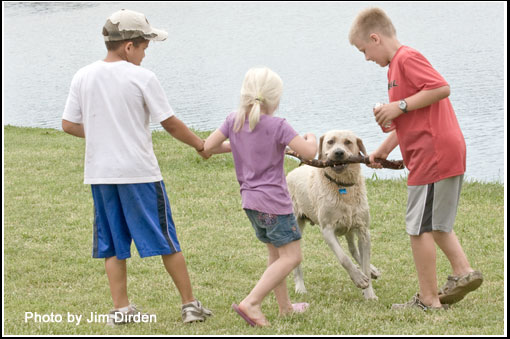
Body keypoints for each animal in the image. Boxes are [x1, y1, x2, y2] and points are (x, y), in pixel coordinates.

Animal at [286, 130, 378, 300]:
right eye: (330, 142)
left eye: (348, 142)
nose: (339, 153)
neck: (342, 186)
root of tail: (291, 173)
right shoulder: (328, 230)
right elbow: (343, 258)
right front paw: (359, 279)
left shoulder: (363, 229)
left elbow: (364, 262)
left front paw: (369, 293)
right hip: (295, 224)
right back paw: (300, 287)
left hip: (350, 225)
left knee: (353, 250)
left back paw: (373, 270)